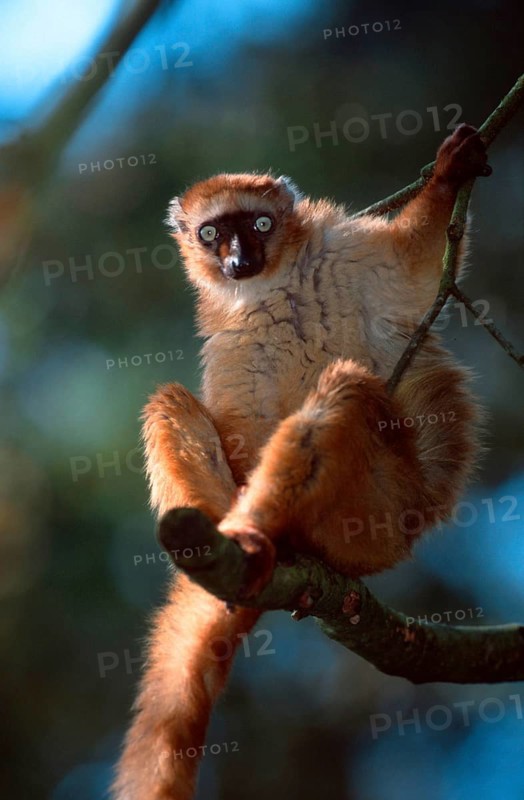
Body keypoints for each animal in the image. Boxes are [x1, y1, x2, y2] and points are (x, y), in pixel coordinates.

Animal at [113, 123, 490, 800]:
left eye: (258, 225)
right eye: (212, 234)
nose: (239, 259)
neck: (273, 286)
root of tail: (414, 521)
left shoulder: (345, 253)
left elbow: (416, 271)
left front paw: (452, 173)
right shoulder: (232, 338)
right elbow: (241, 429)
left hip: (375, 510)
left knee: (348, 393)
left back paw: (263, 537)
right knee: (171, 403)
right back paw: (244, 551)